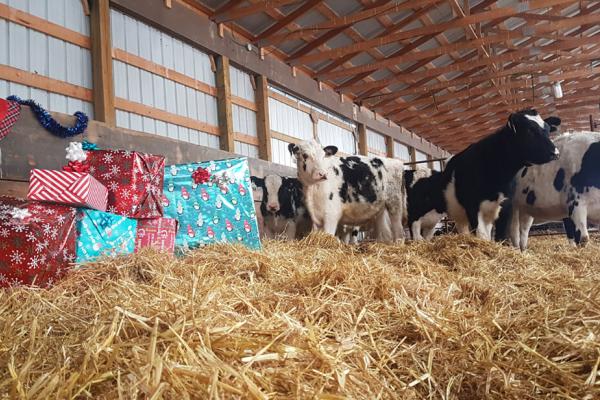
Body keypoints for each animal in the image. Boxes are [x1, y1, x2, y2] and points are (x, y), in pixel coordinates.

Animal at [440, 108, 564, 241]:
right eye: (529, 130)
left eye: (547, 130)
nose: (555, 153)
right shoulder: (472, 207)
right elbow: (481, 236)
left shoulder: (506, 206)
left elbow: (501, 236)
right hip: (458, 213)